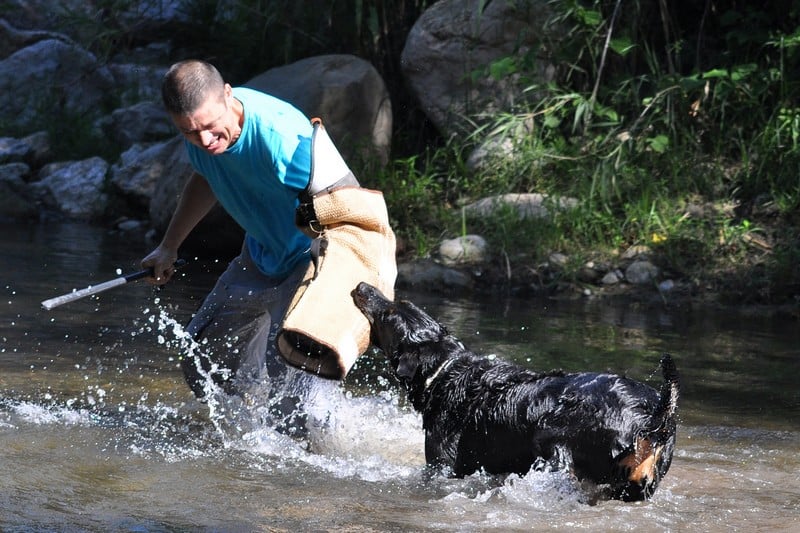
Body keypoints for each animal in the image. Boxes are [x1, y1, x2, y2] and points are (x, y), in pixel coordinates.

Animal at [354, 280, 680, 500]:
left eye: (387, 315)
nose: (361, 286)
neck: (445, 370)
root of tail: (655, 416)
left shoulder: (441, 466)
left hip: (551, 440)